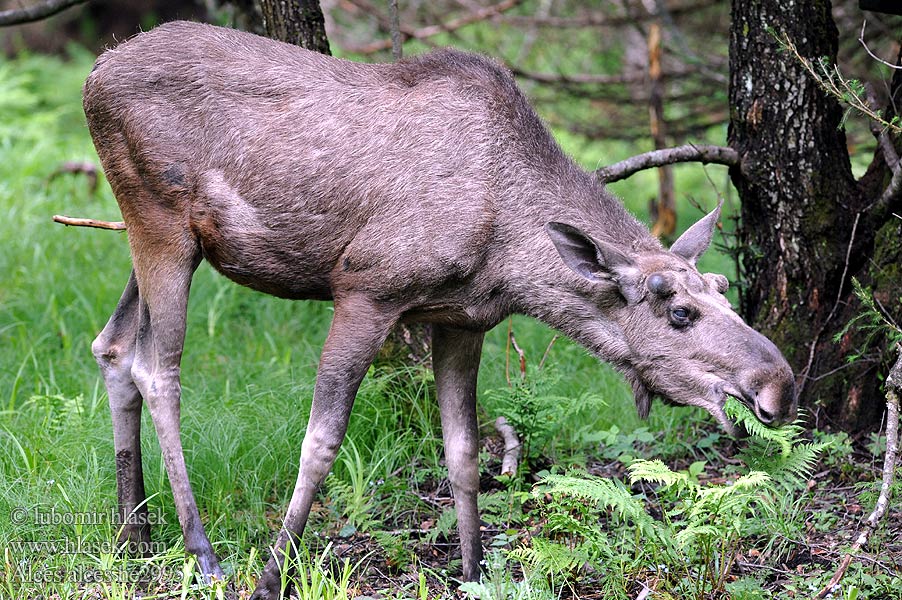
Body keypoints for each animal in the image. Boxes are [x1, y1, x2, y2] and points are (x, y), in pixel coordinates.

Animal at [81, 21, 796, 596]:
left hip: (158, 240)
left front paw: (474, 570)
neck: (506, 253)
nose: (778, 385)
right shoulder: (365, 290)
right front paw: (271, 576)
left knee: (111, 346)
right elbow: (321, 440)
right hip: (161, 223)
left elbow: (463, 451)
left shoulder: (462, 320)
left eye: (722, 286)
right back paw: (201, 553)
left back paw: (133, 533)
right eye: (677, 312)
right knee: (158, 370)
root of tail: (93, 76)